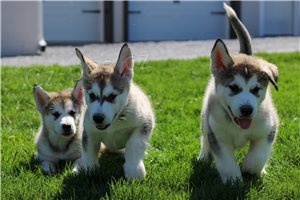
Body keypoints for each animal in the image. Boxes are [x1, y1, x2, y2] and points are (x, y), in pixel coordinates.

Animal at [72, 43, 155, 178]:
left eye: (112, 96)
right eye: (92, 96)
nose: (98, 118)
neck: (115, 122)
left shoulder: (145, 123)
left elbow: (134, 144)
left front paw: (134, 170)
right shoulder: (90, 131)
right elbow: (88, 151)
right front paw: (88, 168)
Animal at [199, 3, 278, 184]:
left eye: (256, 89)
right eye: (234, 88)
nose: (247, 110)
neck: (238, 126)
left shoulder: (268, 129)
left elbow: (258, 156)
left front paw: (251, 169)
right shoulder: (218, 136)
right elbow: (226, 160)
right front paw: (233, 179)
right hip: (206, 118)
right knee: (204, 137)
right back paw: (204, 156)